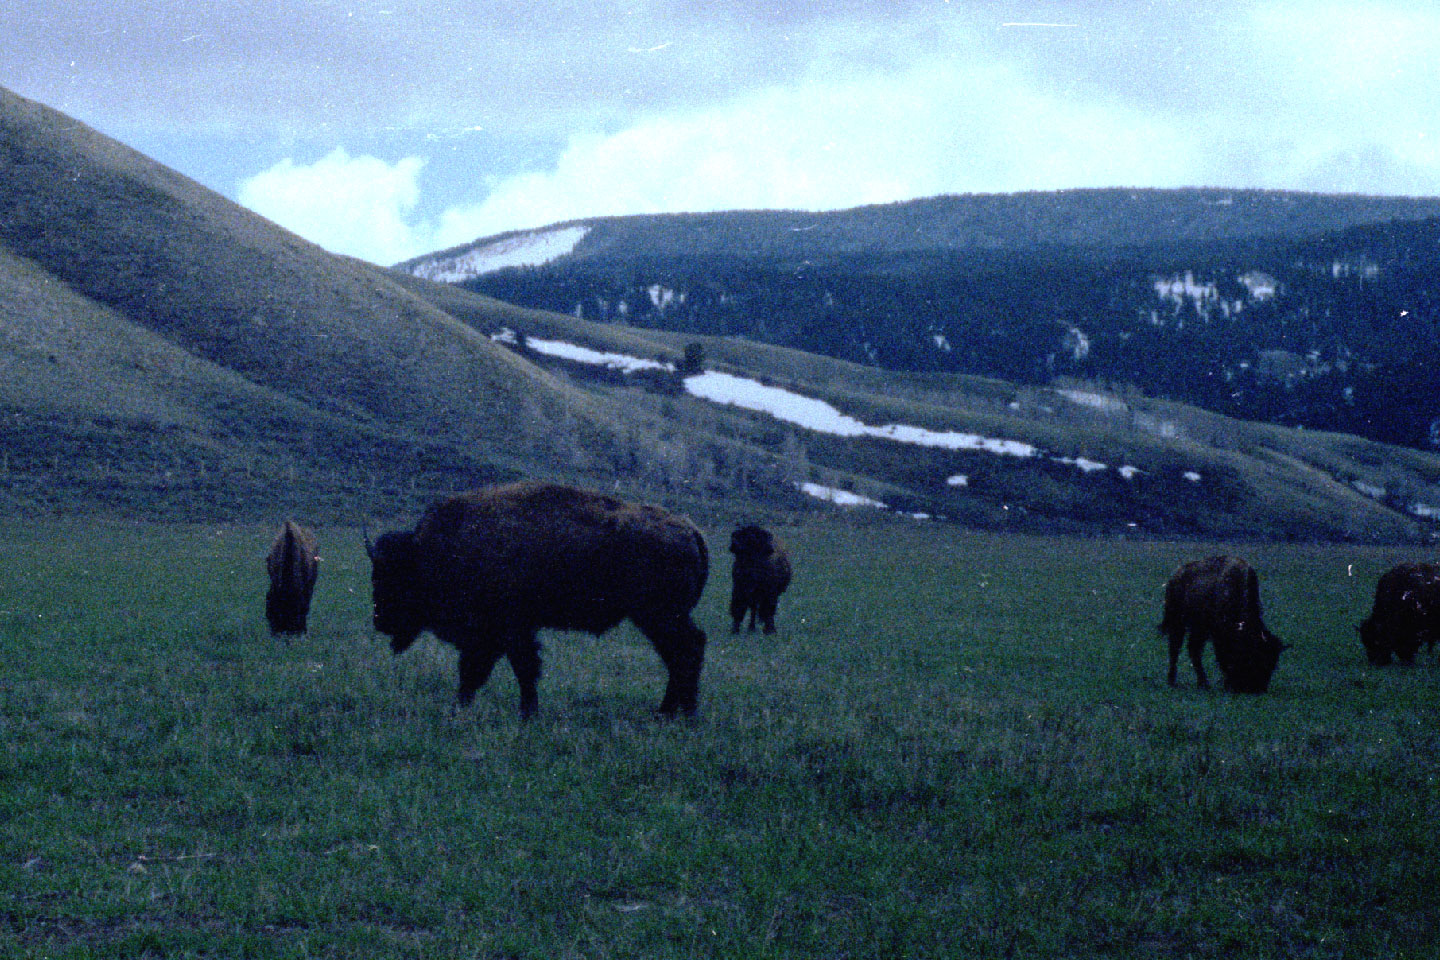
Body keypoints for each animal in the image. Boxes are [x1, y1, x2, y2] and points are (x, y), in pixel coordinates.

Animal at [365, 483, 708, 716]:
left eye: (390, 576)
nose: (379, 621)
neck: (430, 552)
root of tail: (691, 530)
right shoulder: (497, 635)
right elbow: (479, 672)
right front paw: (463, 707)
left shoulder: (507, 631)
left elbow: (518, 668)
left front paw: (525, 713)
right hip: (660, 619)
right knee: (681, 655)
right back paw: (675, 713)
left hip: (659, 618)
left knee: (686, 652)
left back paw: (675, 714)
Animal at [1157, 558, 1284, 693]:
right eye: (1253, 658)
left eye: (1272, 664)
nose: (1258, 689)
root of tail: (1175, 577)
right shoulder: (1218, 634)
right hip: (1178, 624)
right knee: (1175, 649)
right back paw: (1173, 681)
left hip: (1198, 629)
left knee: (1193, 650)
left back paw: (1203, 683)